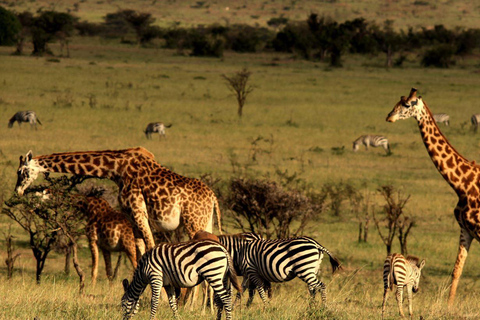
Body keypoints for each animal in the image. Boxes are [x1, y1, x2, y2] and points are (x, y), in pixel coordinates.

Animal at [15, 146, 223, 254]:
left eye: (21, 172)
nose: (18, 191)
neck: (116, 169)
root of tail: (213, 197)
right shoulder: (131, 216)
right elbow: (140, 250)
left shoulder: (138, 211)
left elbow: (151, 247)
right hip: (206, 221)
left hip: (193, 222)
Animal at [386, 87, 480, 304]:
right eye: (399, 101)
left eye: (407, 104)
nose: (389, 117)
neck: (461, 184)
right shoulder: (465, 230)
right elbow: (456, 271)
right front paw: (449, 307)